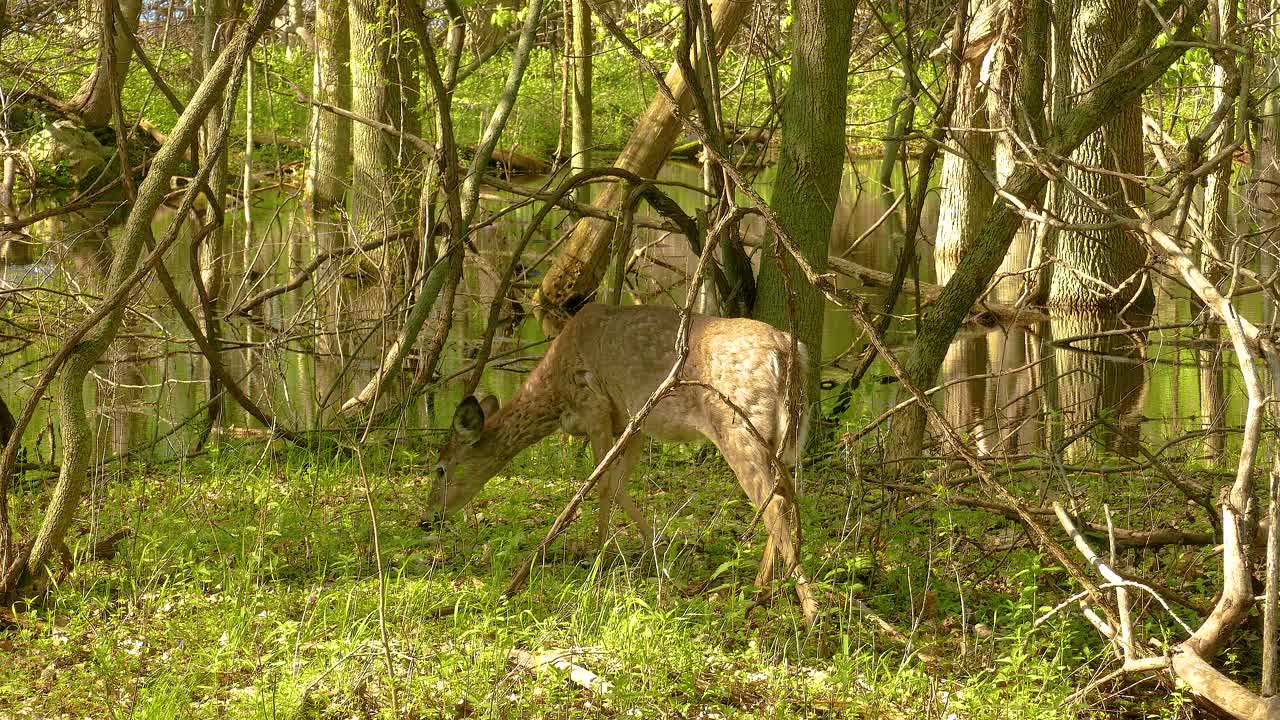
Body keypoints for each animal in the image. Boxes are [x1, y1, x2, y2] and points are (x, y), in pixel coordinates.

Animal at [423, 302, 819, 624]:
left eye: (440, 469)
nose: (428, 517)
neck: (554, 392)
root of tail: (786, 350)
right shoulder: (635, 419)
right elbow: (617, 485)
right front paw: (654, 552)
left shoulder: (594, 406)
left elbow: (598, 484)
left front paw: (598, 558)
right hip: (785, 435)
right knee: (783, 498)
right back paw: (762, 590)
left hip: (737, 423)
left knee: (775, 503)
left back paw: (807, 609)